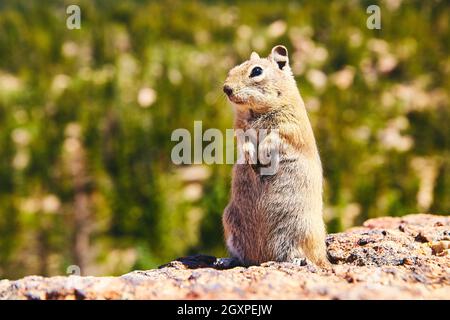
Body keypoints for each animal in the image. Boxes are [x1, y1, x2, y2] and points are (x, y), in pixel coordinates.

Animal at [221, 45, 330, 268]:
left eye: (256, 71)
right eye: (233, 68)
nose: (226, 88)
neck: (255, 111)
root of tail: (262, 258)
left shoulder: (289, 127)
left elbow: (273, 139)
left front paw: (262, 158)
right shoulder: (240, 131)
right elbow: (245, 143)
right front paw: (252, 160)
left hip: (302, 227)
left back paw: (298, 261)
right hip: (229, 221)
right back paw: (226, 260)